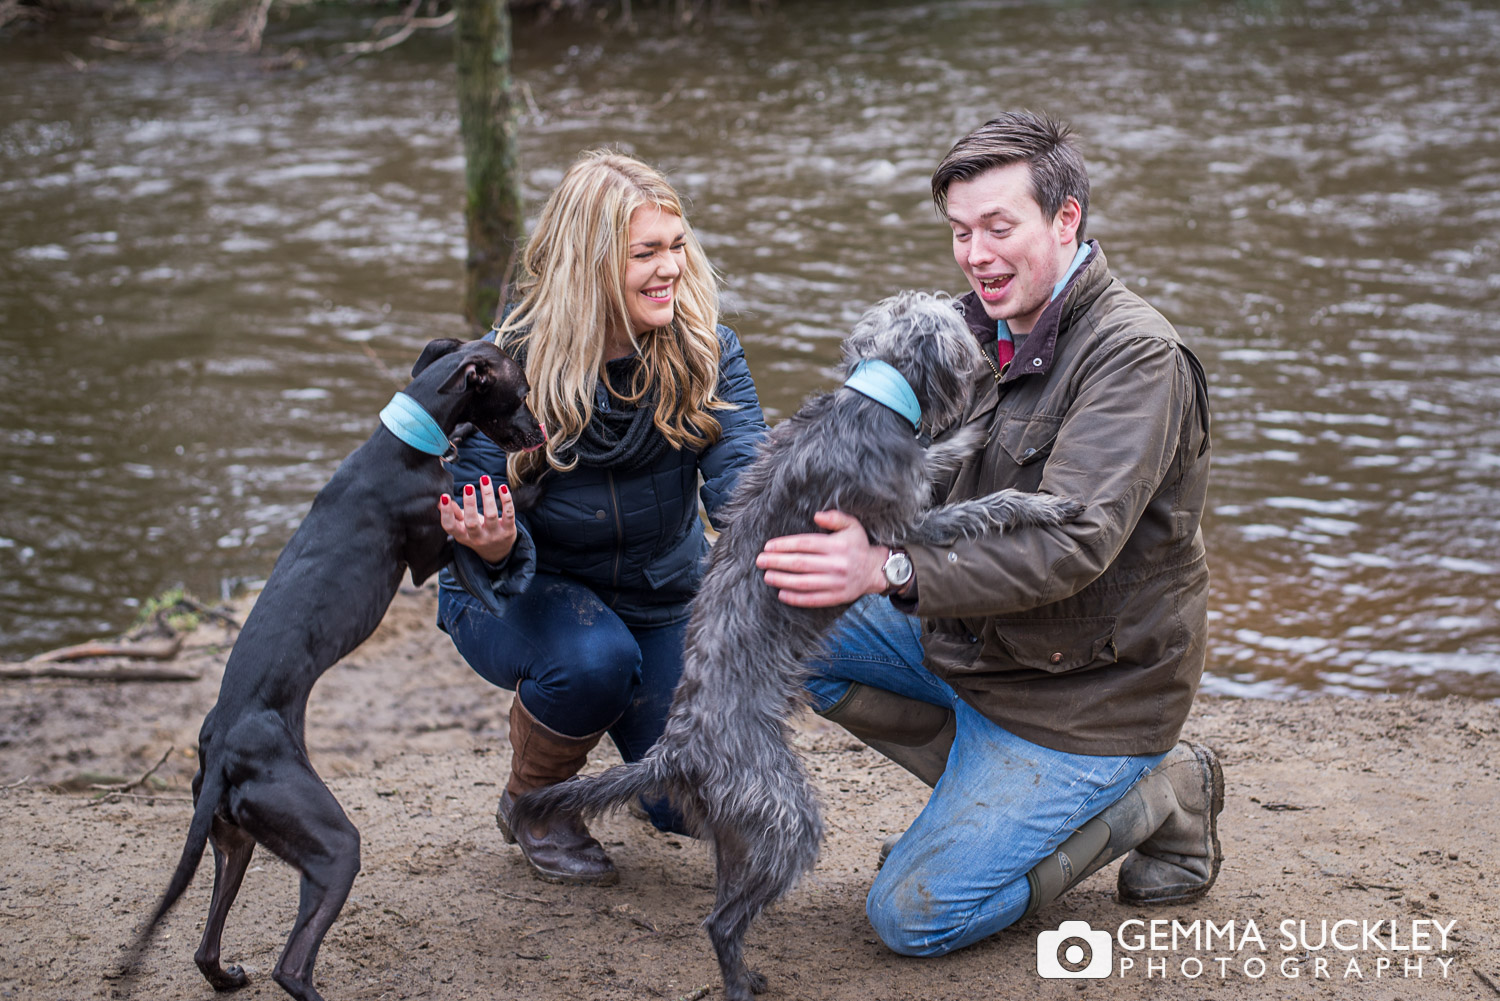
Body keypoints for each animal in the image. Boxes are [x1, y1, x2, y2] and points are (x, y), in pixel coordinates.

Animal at [126, 339, 543, 1001]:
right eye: (521, 392)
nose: (540, 432)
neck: (403, 443)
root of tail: (222, 754)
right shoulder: (434, 551)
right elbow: (512, 507)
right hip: (333, 846)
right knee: (292, 965)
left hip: (237, 842)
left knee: (206, 947)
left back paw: (227, 975)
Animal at [510, 289, 1086, 1001]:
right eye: (943, 316)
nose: (967, 305)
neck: (872, 399)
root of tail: (678, 751)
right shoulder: (910, 525)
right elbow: (984, 505)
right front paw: (1041, 504)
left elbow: (943, 455)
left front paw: (969, 434)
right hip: (788, 817)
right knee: (723, 921)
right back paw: (740, 984)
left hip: (740, 833)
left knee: (721, 909)